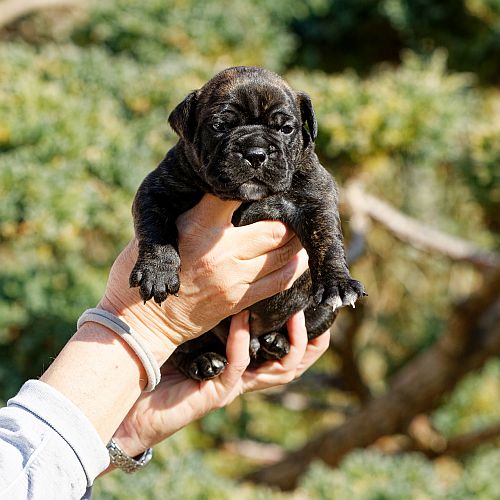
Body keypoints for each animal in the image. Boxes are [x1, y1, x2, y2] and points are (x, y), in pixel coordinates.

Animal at [129, 66, 365, 380]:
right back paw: (204, 360)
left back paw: (277, 343)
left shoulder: (317, 196)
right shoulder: (157, 189)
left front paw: (337, 282)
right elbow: (156, 231)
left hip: (322, 313)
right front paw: (156, 272)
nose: (255, 153)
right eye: (219, 126)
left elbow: (326, 238)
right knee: (184, 349)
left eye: (285, 128)